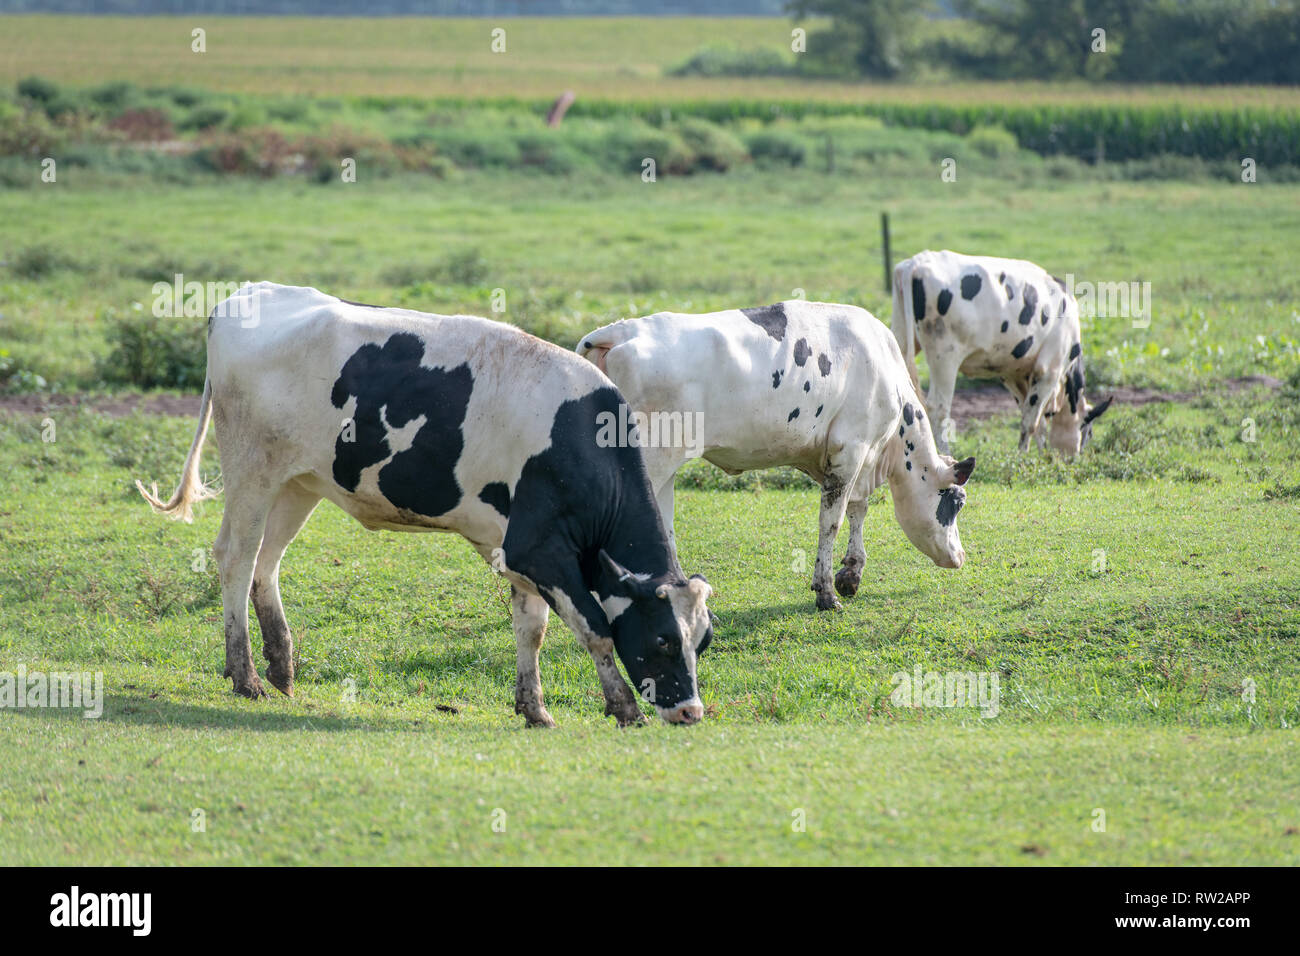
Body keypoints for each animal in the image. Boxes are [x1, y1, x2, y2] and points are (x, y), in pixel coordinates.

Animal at [137, 280, 717, 728]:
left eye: (703, 640)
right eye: (664, 640)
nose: (690, 711)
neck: (577, 438)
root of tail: (250, 293)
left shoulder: (516, 547)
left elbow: (531, 628)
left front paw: (533, 708)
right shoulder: (538, 549)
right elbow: (596, 628)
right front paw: (622, 706)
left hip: (298, 483)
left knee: (266, 563)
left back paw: (281, 669)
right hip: (251, 470)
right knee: (236, 557)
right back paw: (246, 676)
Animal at [579, 299, 977, 613]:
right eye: (956, 503)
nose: (960, 557)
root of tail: (618, 331)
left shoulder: (851, 458)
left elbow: (857, 509)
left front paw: (851, 574)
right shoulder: (851, 449)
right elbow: (831, 521)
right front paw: (826, 592)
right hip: (652, 458)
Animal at [894, 247, 1118, 455]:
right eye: (1088, 431)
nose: (1074, 457)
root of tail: (917, 262)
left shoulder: (1013, 374)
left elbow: (1033, 416)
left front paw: (1039, 455)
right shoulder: (1049, 370)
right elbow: (1031, 421)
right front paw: (1026, 456)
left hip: (900, 343)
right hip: (945, 357)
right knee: (938, 408)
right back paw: (945, 455)